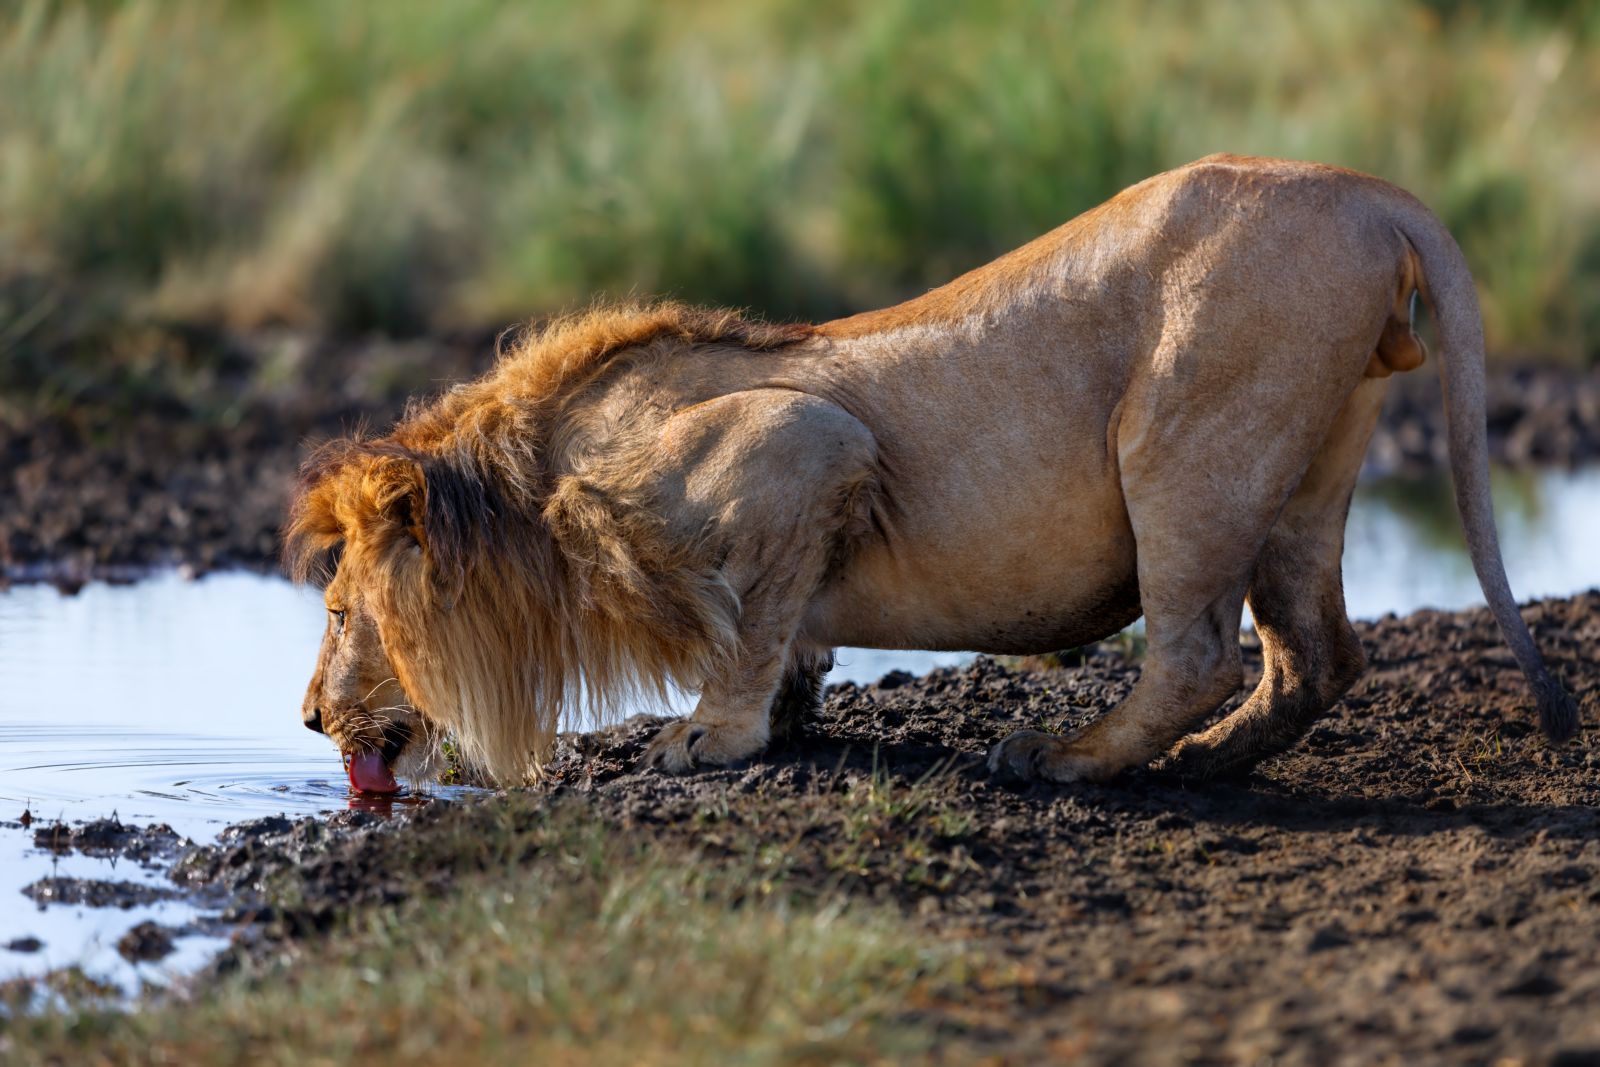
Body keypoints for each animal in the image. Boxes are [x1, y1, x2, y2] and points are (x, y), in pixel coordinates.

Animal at [286, 154, 1578, 794]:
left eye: (341, 610)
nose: (303, 717)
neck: (530, 488)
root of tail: (1362, 187)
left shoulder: (799, 441)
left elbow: (744, 629)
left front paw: (713, 739)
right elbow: (780, 626)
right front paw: (790, 708)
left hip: (1188, 438)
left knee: (1199, 649)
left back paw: (1068, 759)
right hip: (1309, 466)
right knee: (1315, 653)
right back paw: (1205, 763)